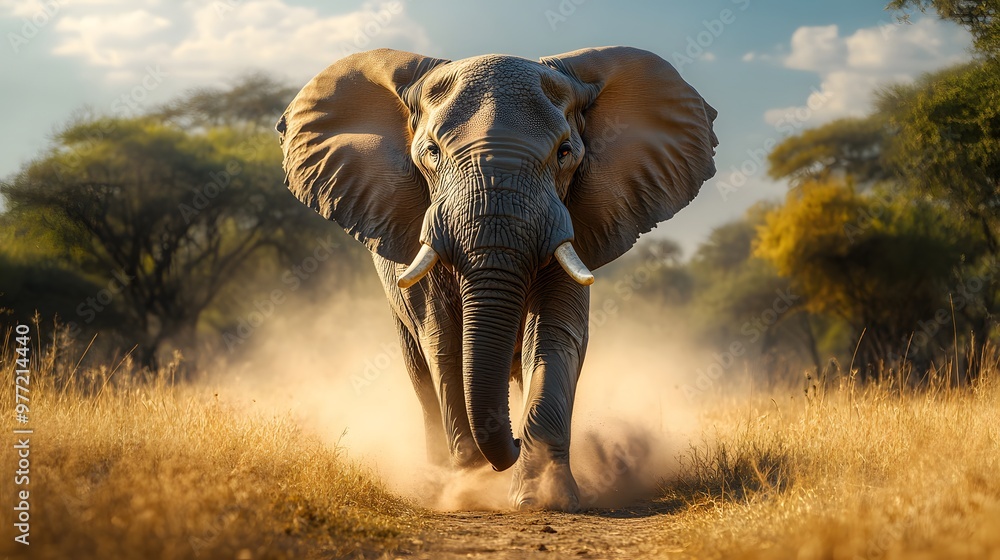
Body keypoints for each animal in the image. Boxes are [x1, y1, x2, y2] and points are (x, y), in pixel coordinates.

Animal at [276, 46, 717, 511]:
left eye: (564, 153)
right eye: (431, 152)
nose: (515, 441)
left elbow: (554, 333)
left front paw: (544, 498)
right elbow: (444, 343)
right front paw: (468, 488)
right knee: (421, 373)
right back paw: (437, 477)